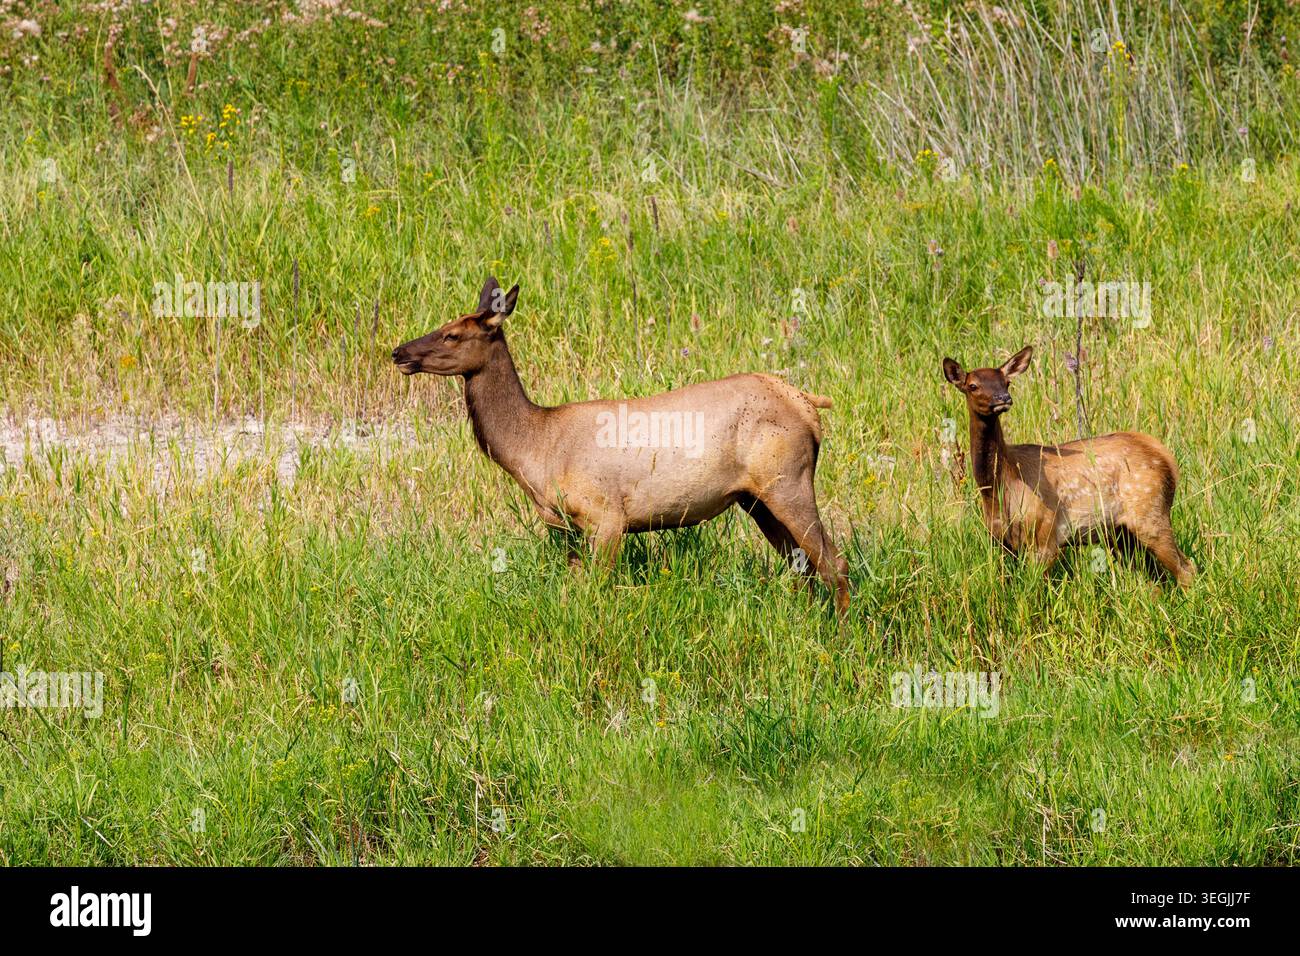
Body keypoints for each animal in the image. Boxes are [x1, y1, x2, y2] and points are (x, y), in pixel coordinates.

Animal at [392, 276, 851, 614]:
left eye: (452, 335)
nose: (398, 352)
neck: (536, 449)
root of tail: (808, 405)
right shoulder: (568, 529)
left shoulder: (607, 515)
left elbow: (599, 591)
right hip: (755, 499)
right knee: (804, 568)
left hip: (788, 481)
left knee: (834, 563)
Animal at [942, 346, 1196, 586]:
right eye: (973, 385)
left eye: (1007, 382)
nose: (1003, 398)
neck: (999, 487)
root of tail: (1166, 457)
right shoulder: (1002, 542)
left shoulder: (1045, 534)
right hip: (1121, 533)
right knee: (1155, 579)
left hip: (1150, 512)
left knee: (1186, 569)